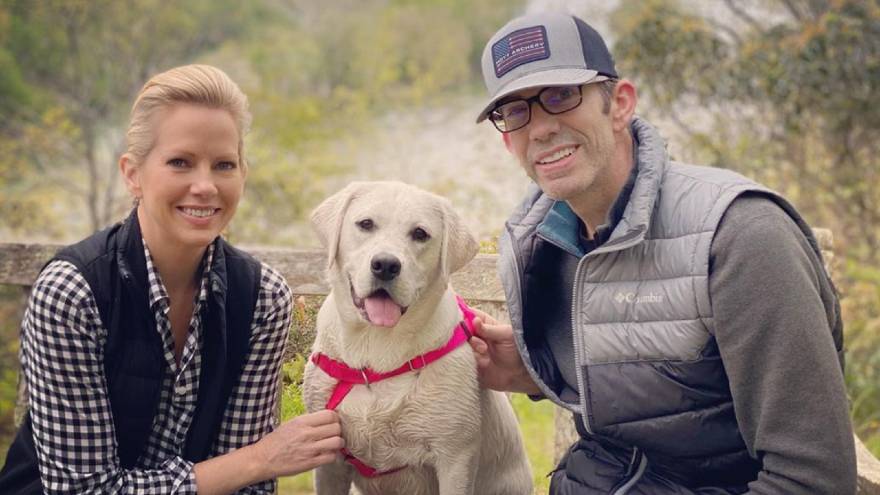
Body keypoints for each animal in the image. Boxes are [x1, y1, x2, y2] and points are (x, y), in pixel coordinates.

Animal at [302, 182, 532, 495]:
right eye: (365, 224)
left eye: (420, 234)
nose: (386, 265)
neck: (377, 348)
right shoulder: (330, 456)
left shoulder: (455, 458)